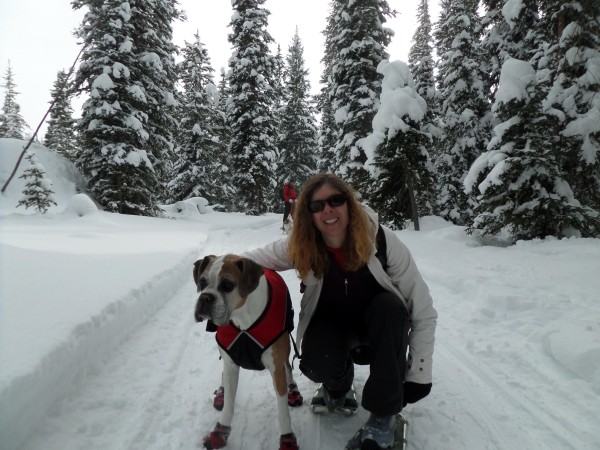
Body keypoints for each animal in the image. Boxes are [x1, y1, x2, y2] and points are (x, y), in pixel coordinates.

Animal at [195, 253, 302, 450]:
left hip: (284, 352)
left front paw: (287, 438)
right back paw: (220, 392)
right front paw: (219, 433)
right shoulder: (230, 364)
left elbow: (282, 410)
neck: (242, 317)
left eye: (227, 285)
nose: (205, 297)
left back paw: (293, 390)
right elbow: (229, 405)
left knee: (288, 368)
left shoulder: (276, 368)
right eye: (202, 281)